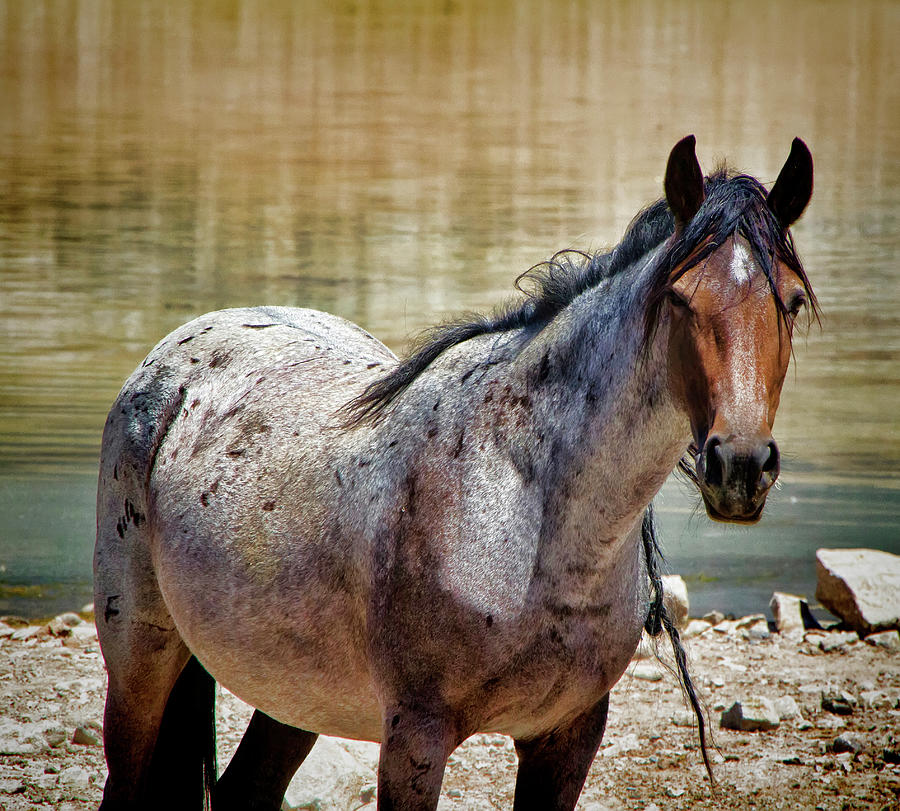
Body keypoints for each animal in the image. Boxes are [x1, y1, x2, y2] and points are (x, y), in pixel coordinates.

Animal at [93, 136, 816, 808]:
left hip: (294, 687)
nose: (740, 465)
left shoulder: (569, 736)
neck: (524, 503)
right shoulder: (416, 738)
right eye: (679, 297)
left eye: (792, 301)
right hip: (140, 656)